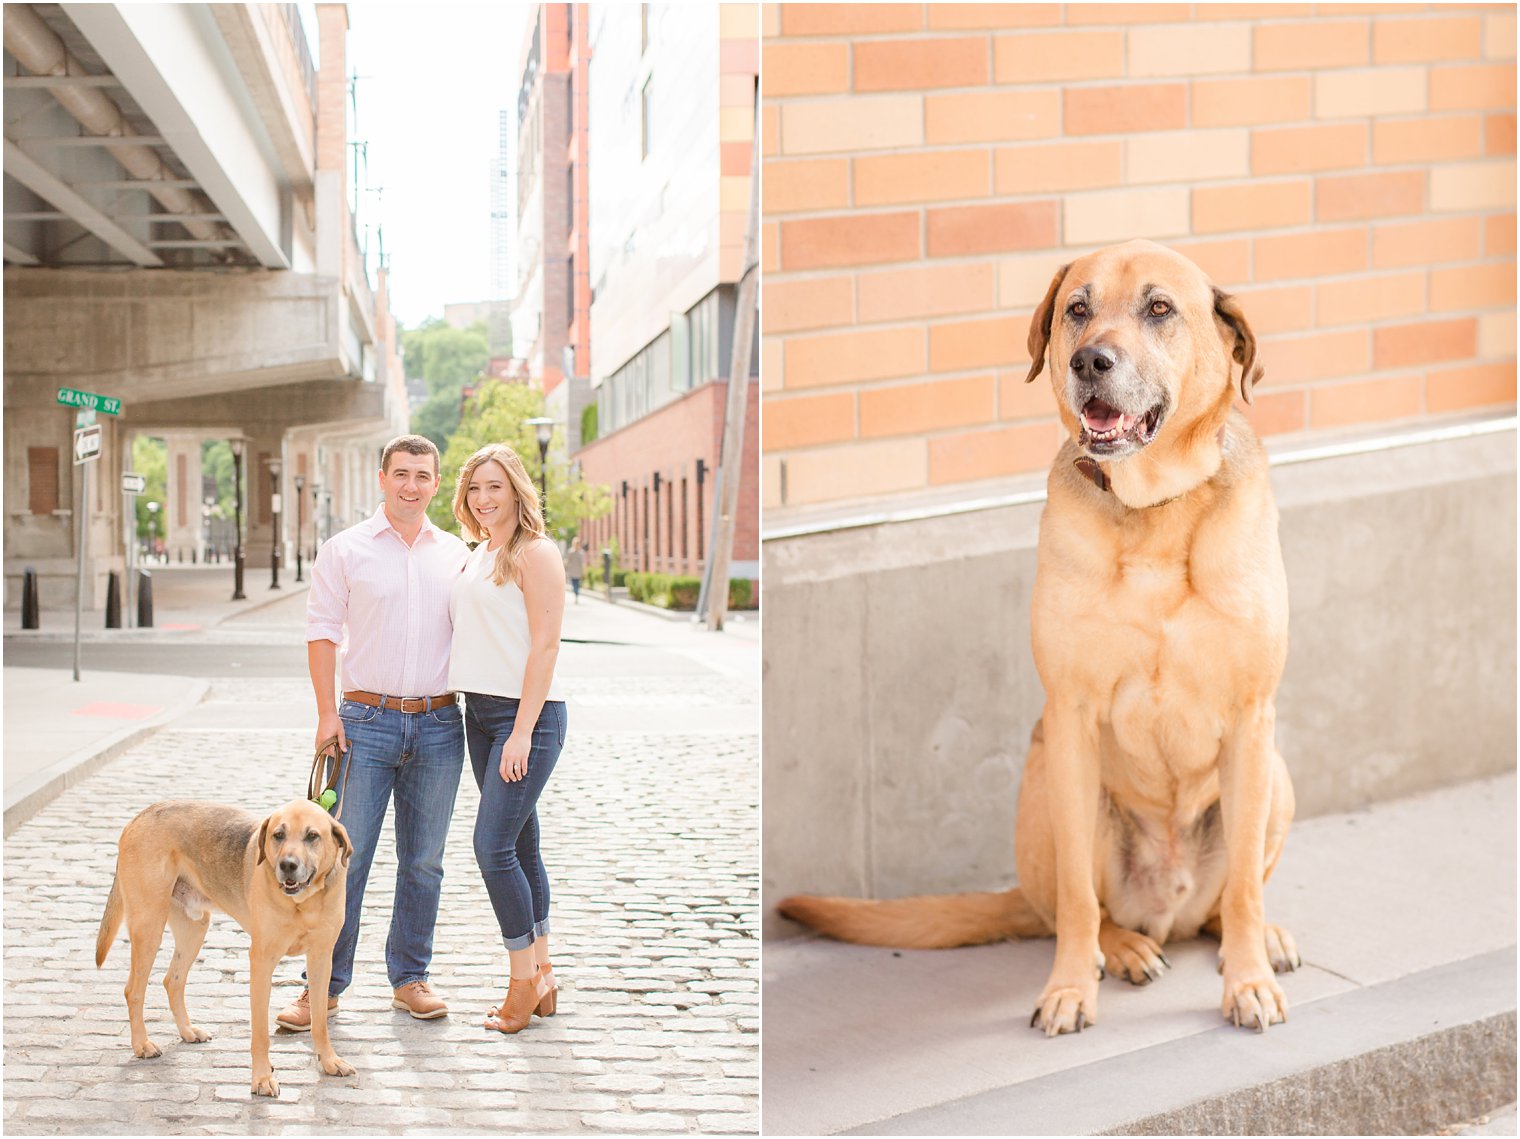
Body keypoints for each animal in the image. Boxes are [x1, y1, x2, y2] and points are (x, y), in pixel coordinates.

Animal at [96, 796, 354, 1094]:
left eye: (312, 836)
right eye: (278, 835)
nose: (287, 865)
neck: (304, 902)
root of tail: (142, 815)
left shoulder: (321, 959)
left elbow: (320, 1021)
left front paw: (329, 1061)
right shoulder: (261, 961)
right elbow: (260, 1031)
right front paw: (262, 1077)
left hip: (194, 928)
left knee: (172, 980)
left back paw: (187, 1031)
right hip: (149, 926)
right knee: (133, 990)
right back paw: (142, 1044)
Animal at [778, 244, 1301, 1034]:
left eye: (1159, 309)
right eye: (1077, 309)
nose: (1089, 361)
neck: (1154, 509)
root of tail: (1168, 910)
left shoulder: (1250, 718)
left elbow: (1242, 886)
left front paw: (1247, 981)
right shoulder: (1072, 720)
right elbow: (1079, 900)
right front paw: (1069, 989)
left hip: (1275, 775)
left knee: (1227, 901)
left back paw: (1258, 937)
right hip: (1046, 779)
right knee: (1068, 907)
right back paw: (1122, 947)